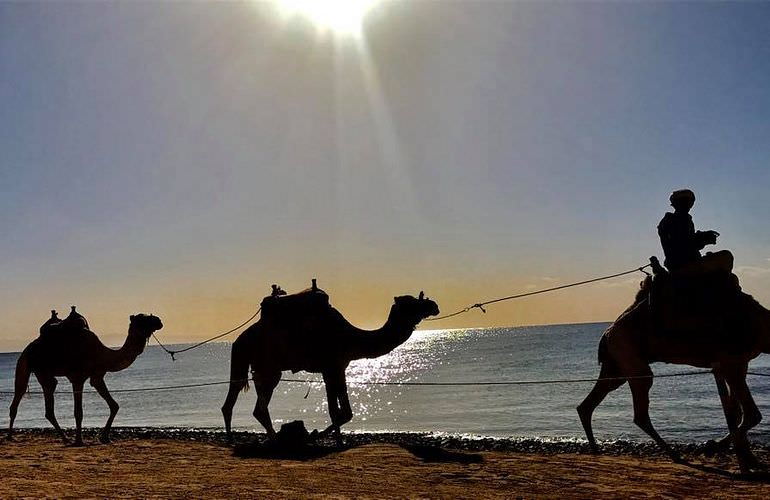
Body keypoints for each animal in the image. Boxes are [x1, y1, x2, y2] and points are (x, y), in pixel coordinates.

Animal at [7, 312, 164, 446]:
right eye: (142, 319)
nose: (159, 321)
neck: (103, 354)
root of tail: (29, 347)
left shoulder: (97, 377)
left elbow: (114, 405)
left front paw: (104, 438)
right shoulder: (77, 378)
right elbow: (78, 412)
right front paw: (79, 441)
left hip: (41, 372)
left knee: (44, 401)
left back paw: (64, 438)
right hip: (30, 365)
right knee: (22, 393)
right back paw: (11, 437)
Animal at [222, 290, 438, 442]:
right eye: (412, 303)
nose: (434, 305)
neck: (351, 337)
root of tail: (240, 339)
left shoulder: (337, 368)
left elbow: (344, 412)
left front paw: (327, 437)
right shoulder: (331, 367)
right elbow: (338, 411)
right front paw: (321, 436)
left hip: (256, 366)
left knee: (237, 402)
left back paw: (238, 439)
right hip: (267, 367)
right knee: (255, 405)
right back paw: (273, 439)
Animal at [576, 278, 768, 472]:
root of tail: (606, 333)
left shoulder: (740, 363)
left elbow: (737, 411)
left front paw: (750, 460)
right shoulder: (730, 362)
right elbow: (751, 414)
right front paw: (710, 448)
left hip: (616, 366)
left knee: (589, 403)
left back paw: (595, 449)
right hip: (631, 359)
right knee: (640, 413)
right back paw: (676, 455)